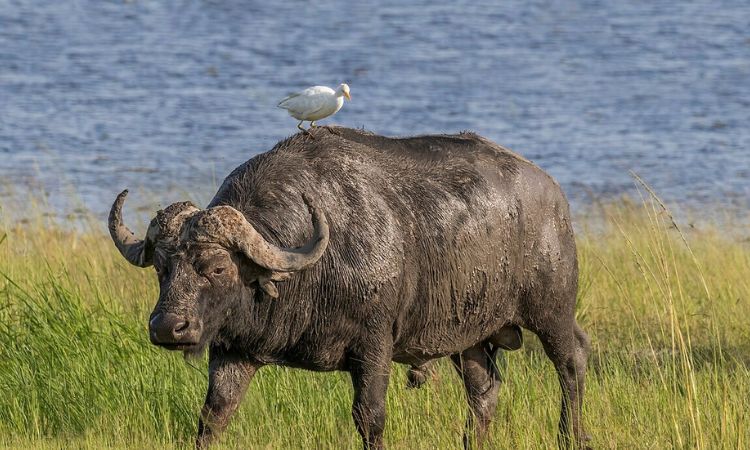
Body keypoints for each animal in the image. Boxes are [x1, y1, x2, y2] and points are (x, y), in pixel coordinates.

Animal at [109, 127, 590, 449]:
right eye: (162, 268)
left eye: (216, 267)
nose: (168, 327)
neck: (310, 273)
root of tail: (552, 194)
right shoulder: (234, 350)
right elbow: (213, 415)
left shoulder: (374, 347)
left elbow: (369, 417)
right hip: (468, 337)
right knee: (484, 390)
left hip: (552, 312)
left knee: (572, 364)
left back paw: (573, 435)